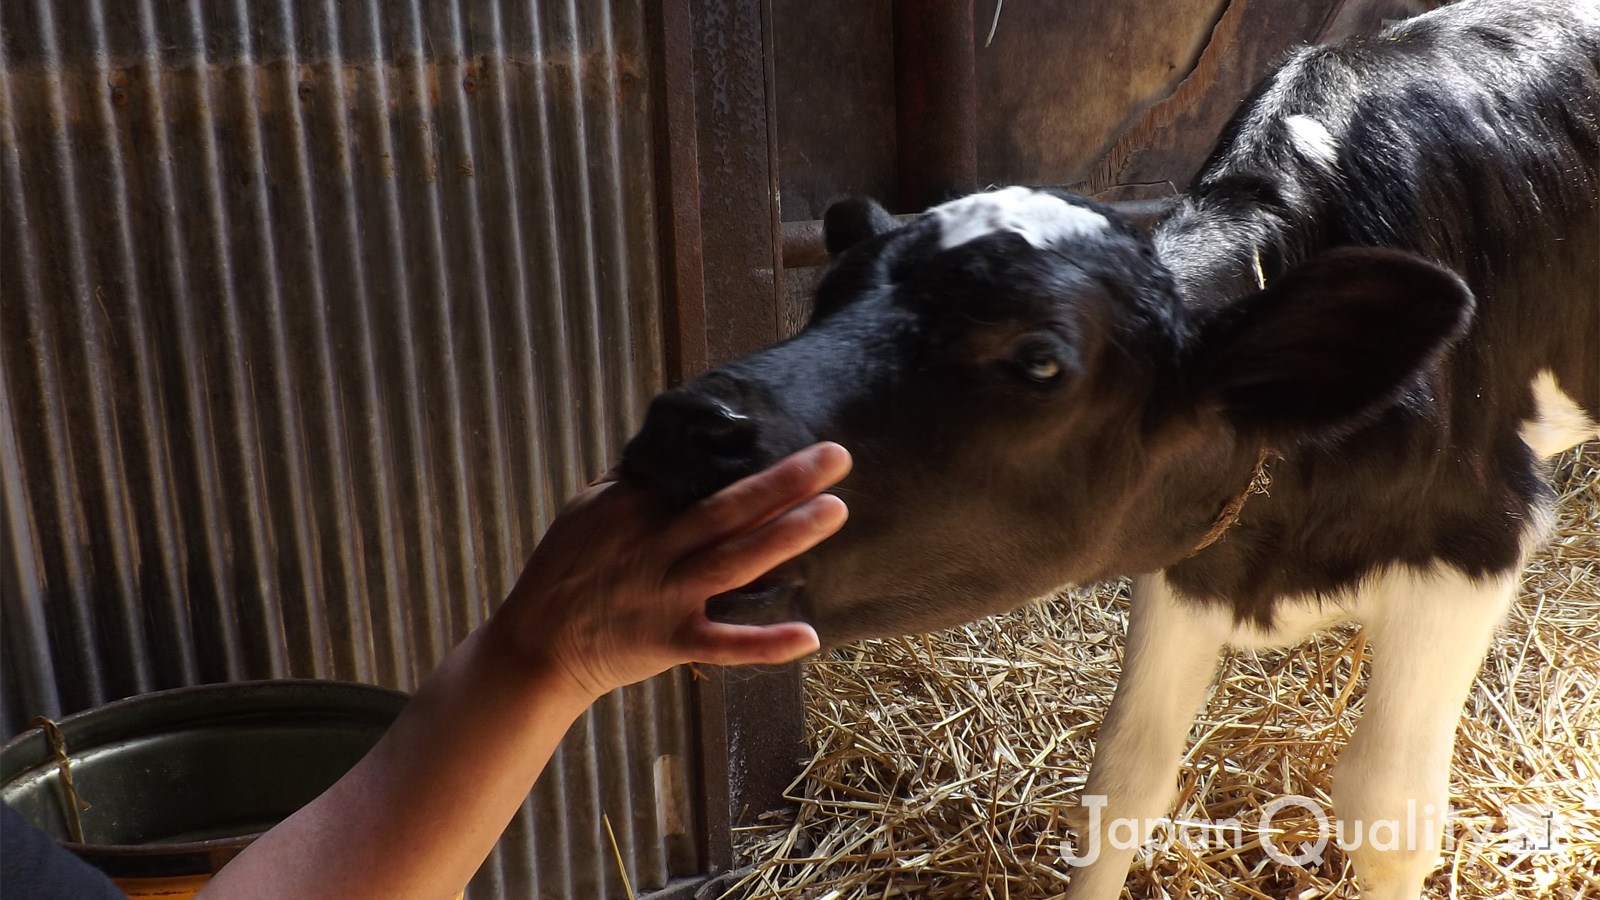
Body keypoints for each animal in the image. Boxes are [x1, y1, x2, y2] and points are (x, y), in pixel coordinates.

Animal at [627, 3, 1600, 890]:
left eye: (1041, 362)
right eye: (829, 294)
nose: (694, 427)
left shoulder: (1476, 541)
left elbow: (1386, 813)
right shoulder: (1189, 545)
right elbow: (1121, 782)